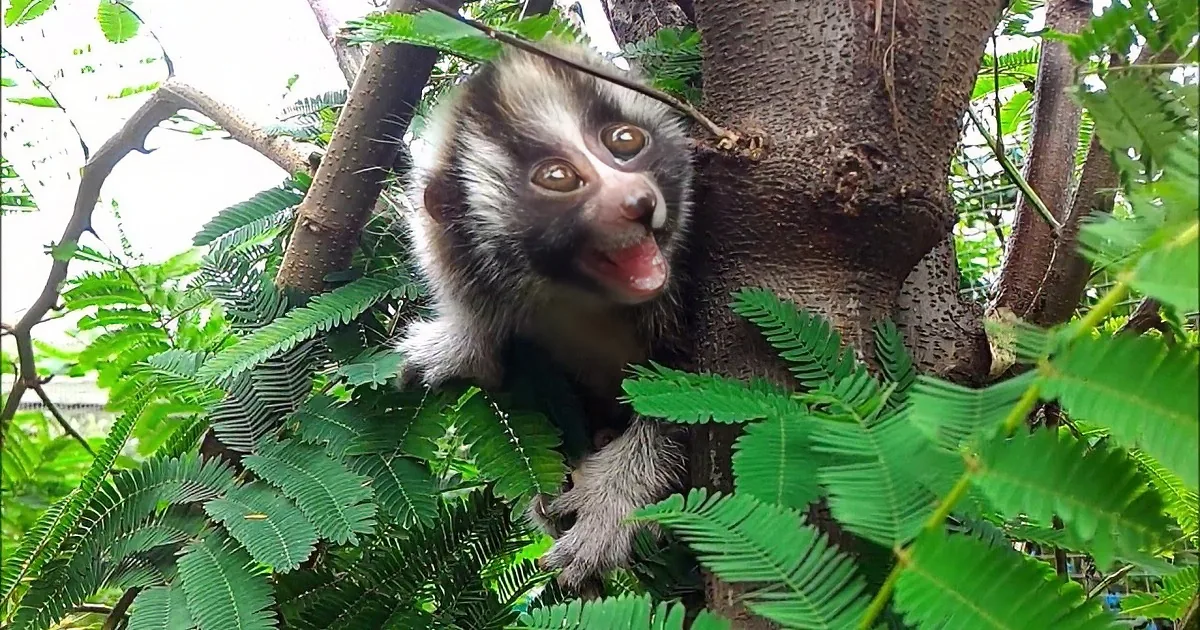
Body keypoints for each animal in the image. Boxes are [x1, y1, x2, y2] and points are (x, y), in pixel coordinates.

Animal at [395, 39, 694, 591]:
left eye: (625, 141)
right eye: (558, 178)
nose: (638, 201)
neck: (576, 299)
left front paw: (607, 509)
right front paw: (462, 346)